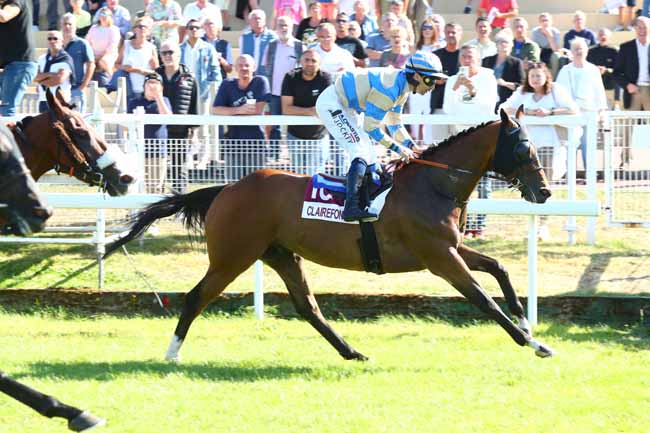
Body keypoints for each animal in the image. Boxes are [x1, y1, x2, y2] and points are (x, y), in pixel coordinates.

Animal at [105, 108, 552, 362]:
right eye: (523, 146)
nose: (545, 191)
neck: (433, 184)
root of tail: (226, 188)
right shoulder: (440, 258)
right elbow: (483, 299)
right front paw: (534, 344)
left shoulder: (450, 247)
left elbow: (499, 269)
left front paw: (526, 323)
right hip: (233, 256)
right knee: (197, 296)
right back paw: (172, 353)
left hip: (281, 254)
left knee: (308, 307)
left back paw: (352, 352)